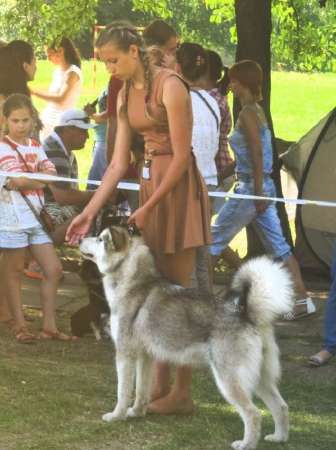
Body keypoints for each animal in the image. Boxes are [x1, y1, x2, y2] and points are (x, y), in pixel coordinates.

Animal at [80, 229, 292, 450]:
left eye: (100, 239)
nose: (79, 239)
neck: (135, 282)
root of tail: (246, 314)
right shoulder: (145, 357)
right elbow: (141, 391)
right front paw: (136, 413)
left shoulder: (124, 354)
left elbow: (123, 392)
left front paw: (116, 416)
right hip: (260, 379)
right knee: (281, 406)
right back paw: (279, 437)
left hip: (229, 380)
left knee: (253, 413)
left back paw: (246, 444)